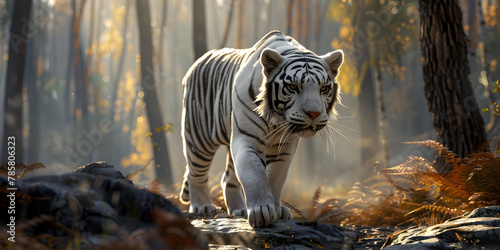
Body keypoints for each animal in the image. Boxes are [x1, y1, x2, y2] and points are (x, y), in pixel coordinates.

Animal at [180, 30, 344, 228]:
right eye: (293, 86)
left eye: (324, 88)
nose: (313, 113)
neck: (278, 120)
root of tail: (198, 62)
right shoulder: (246, 138)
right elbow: (254, 174)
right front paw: (262, 211)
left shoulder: (284, 148)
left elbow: (275, 177)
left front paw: (277, 210)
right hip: (200, 138)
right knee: (195, 173)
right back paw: (202, 207)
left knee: (228, 178)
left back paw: (239, 210)